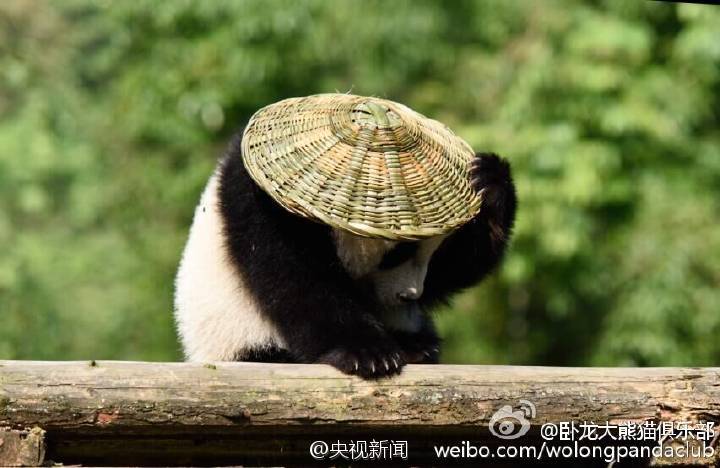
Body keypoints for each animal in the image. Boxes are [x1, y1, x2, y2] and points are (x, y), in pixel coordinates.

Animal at [174, 131, 517, 379]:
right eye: (396, 254)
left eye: (432, 254)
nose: (409, 295)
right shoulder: (265, 206)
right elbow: (299, 283)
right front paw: (369, 355)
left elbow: (455, 268)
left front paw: (490, 182)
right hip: (234, 335)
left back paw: (417, 347)